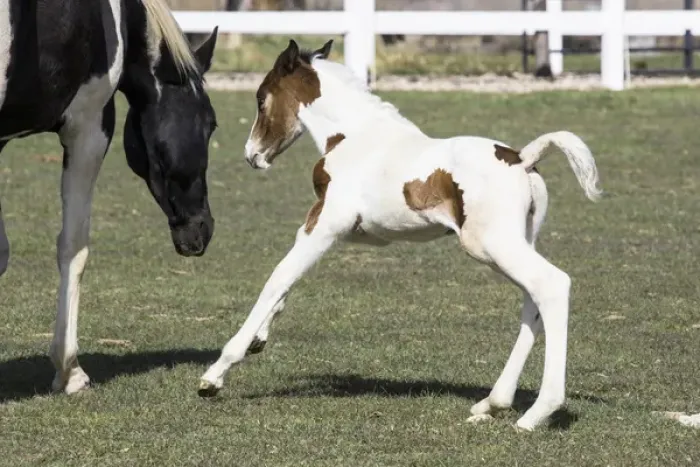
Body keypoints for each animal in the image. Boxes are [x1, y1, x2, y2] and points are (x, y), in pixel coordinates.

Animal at [198, 39, 603, 431]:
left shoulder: (325, 223)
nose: (253, 155)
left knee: (551, 285)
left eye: (261, 98)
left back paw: (535, 413)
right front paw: (259, 340)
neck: (355, 137)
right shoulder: (352, 233)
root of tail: (522, 158)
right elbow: (286, 286)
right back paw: (492, 403)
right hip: (515, 243)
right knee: (532, 301)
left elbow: (278, 277)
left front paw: (215, 376)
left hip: (491, 245)